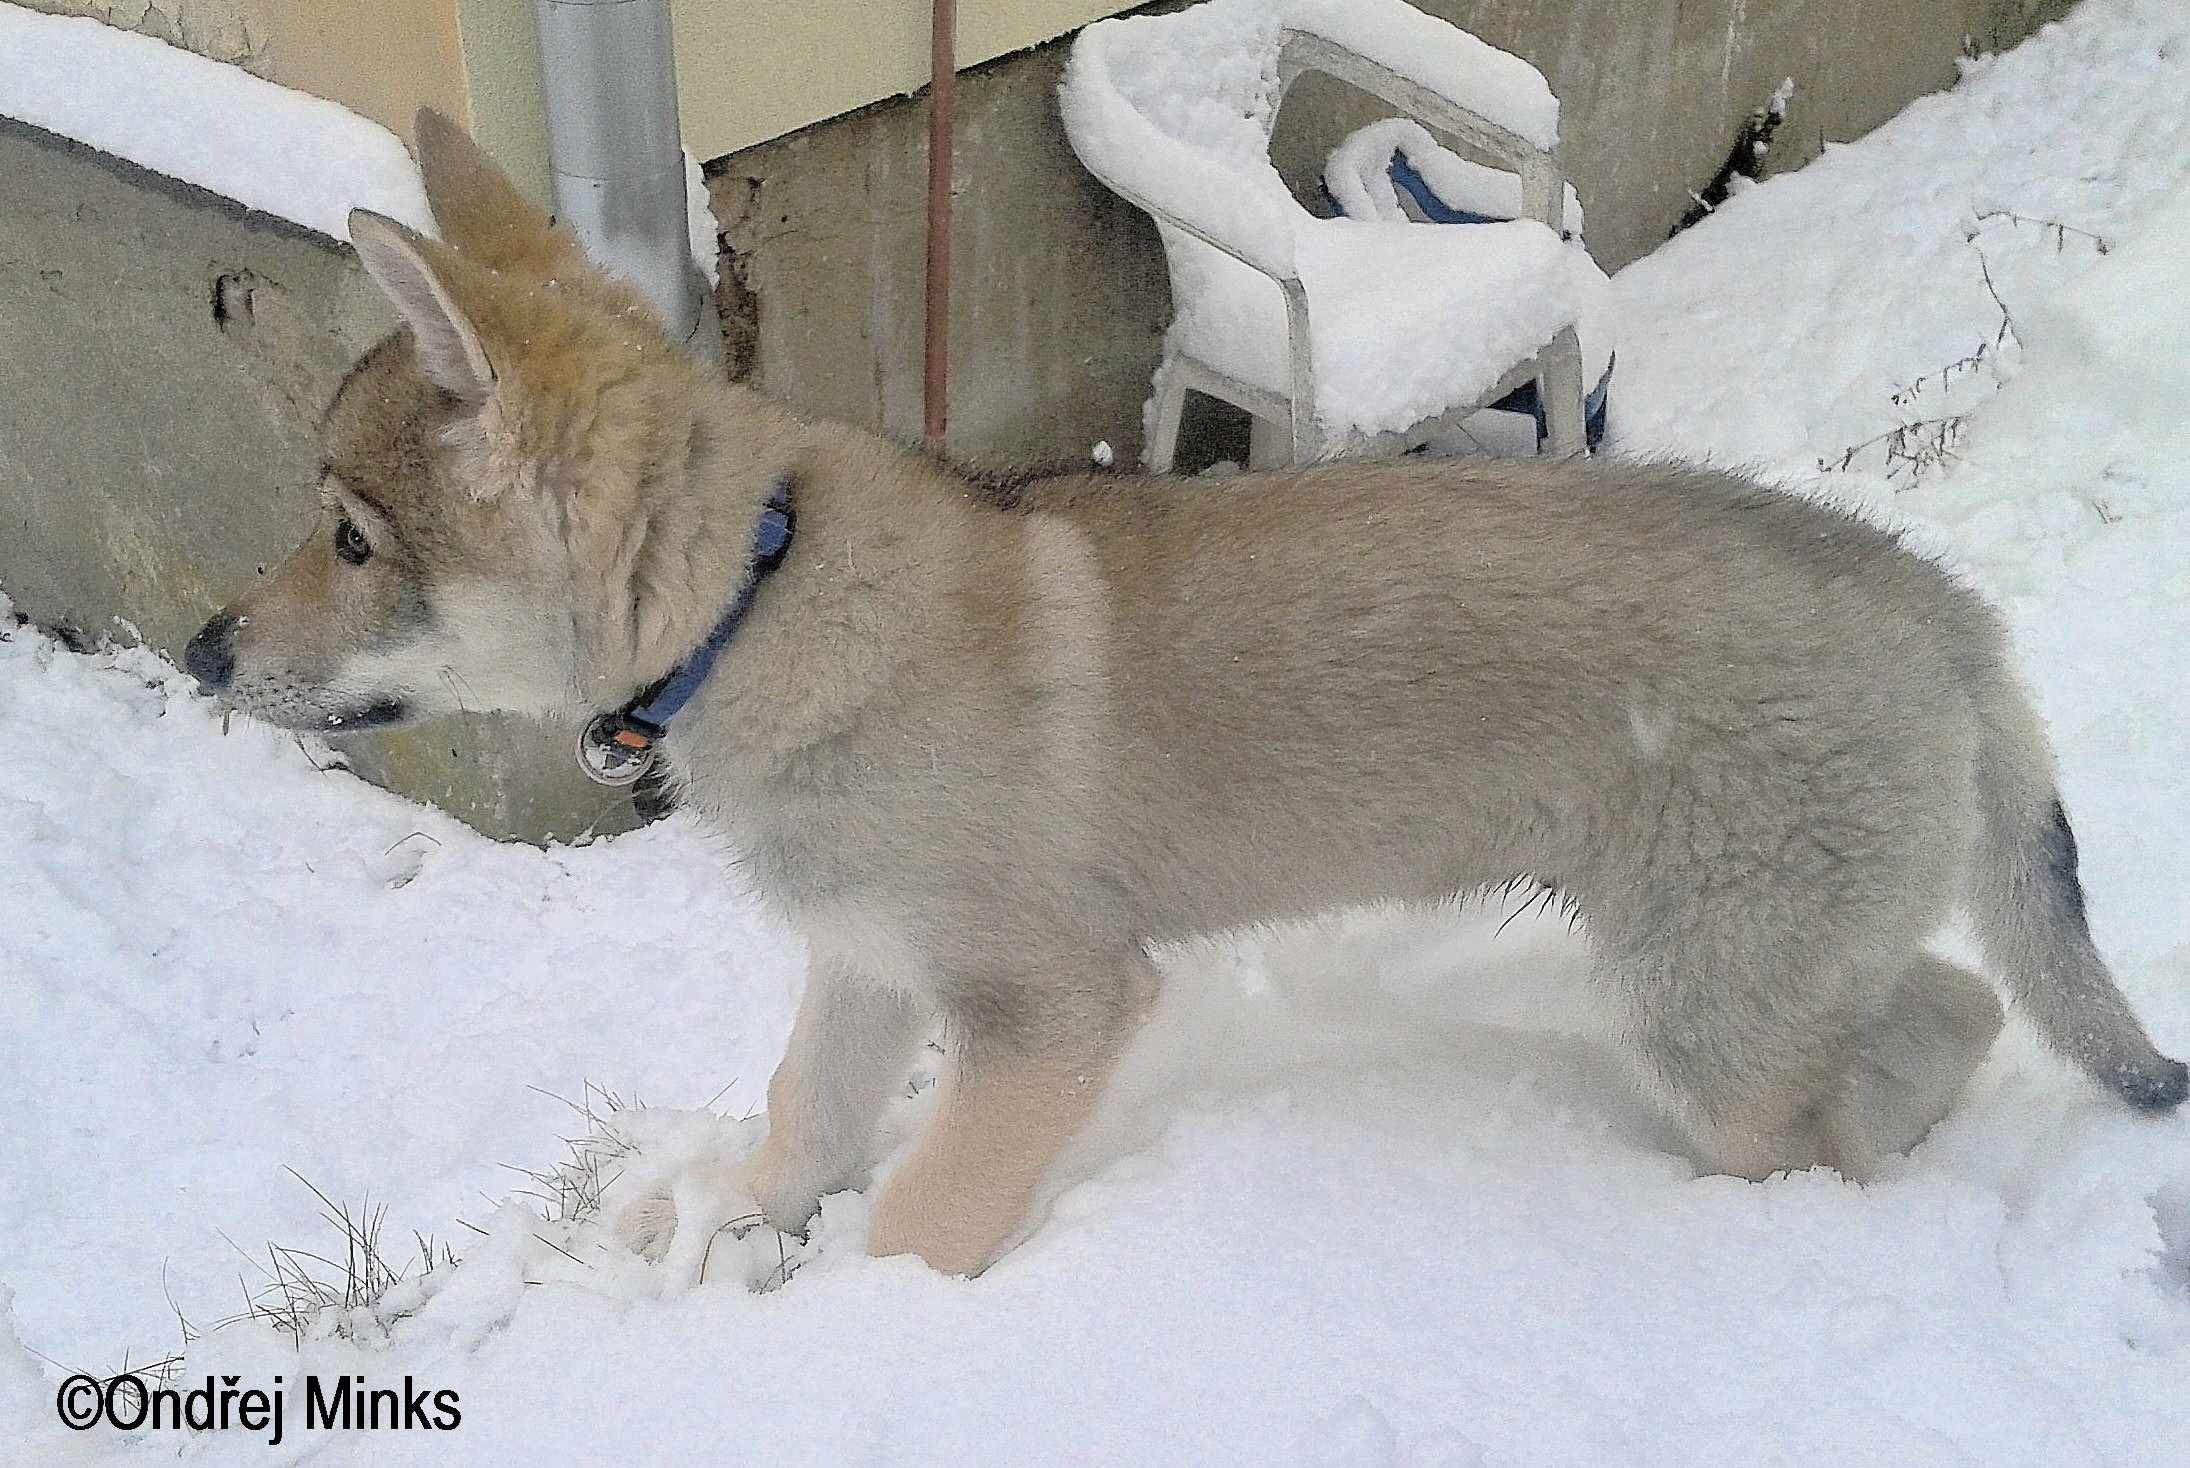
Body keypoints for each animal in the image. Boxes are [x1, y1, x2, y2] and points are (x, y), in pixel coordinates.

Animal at [192, 115, 2190, 1279]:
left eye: (350, 535)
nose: (200, 655)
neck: (755, 600)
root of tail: (1946, 614)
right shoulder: (865, 961)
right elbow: (806, 1120)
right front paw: (738, 1233)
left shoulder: (1051, 1010)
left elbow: (917, 1221)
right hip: (1748, 967)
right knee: (1953, 1004)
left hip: (1705, 997)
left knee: (1866, 1083)